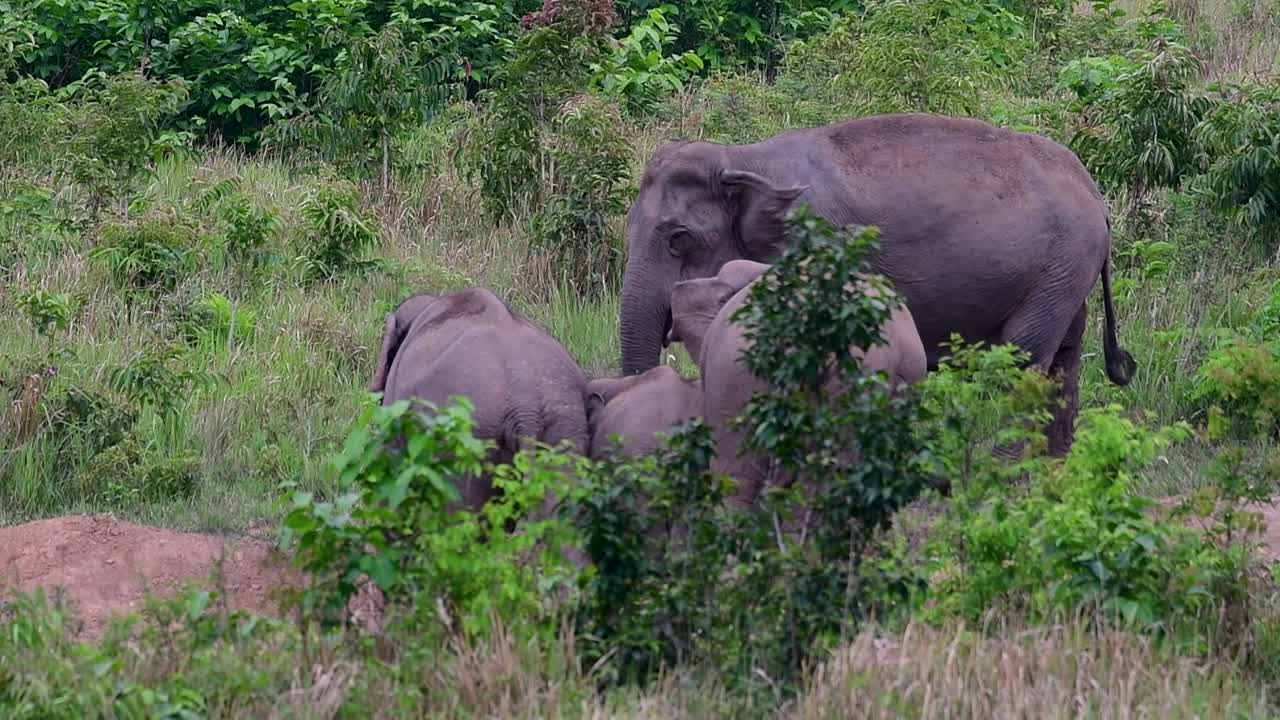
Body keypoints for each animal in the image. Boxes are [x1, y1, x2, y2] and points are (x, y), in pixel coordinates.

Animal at [618, 112, 1136, 456]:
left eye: (679, 239)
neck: (744, 158)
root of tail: (1095, 192)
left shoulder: (819, 242)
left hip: (1058, 268)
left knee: (1023, 359)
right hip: (1066, 275)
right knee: (1065, 358)